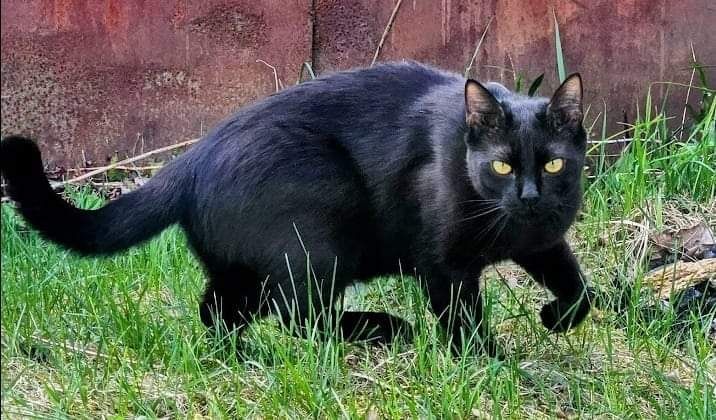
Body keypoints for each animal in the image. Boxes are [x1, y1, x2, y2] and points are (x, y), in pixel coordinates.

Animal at [0, 62, 592, 356]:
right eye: (502, 167)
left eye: (554, 164)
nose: (530, 196)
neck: (507, 225)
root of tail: (191, 159)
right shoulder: (444, 265)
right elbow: (463, 320)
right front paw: (490, 362)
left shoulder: (543, 239)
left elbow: (579, 288)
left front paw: (555, 317)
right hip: (321, 228)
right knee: (302, 318)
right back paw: (385, 328)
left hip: (247, 267)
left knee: (220, 309)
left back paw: (236, 357)